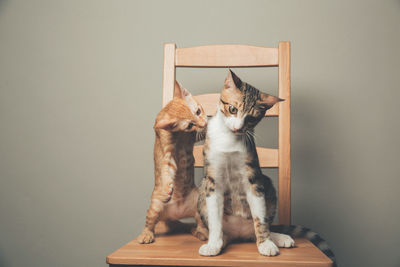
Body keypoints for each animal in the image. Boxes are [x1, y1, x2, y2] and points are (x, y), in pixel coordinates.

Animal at [137, 80, 208, 244]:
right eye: (190, 125)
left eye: (198, 112)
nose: (203, 123)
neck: (181, 136)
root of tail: (176, 215)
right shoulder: (167, 151)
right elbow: (165, 170)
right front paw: (167, 187)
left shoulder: (194, 136)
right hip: (156, 206)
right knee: (149, 221)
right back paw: (146, 234)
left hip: (199, 204)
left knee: (198, 222)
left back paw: (201, 232)